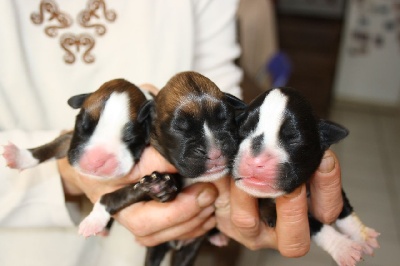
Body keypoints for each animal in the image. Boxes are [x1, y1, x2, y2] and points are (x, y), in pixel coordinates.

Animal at [233, 88, 380, 266]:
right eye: (243, 131)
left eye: (294, 139)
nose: (255, 162)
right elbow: (314, 224)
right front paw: (344, 247)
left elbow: (343, 207)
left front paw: (362, 234)